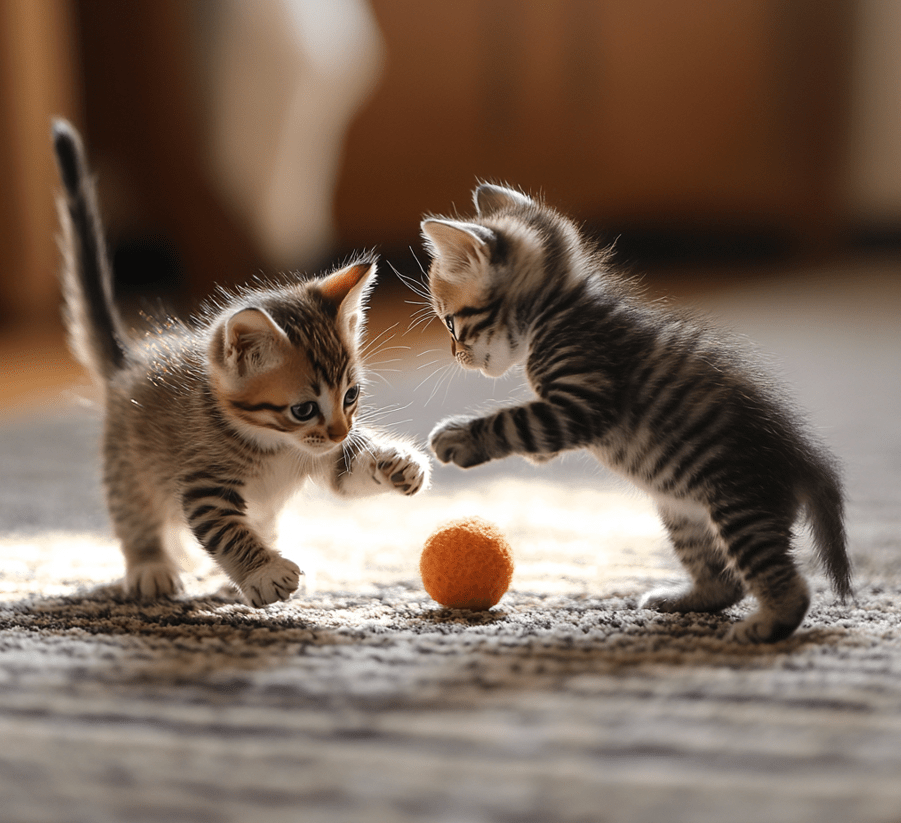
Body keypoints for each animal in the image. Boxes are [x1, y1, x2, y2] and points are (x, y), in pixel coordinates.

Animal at [51, 122, 428, 608]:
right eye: (303, 409)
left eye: (351, 395)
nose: (342, 432)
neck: (277, 446)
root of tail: (130, 360)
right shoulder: (203, 486)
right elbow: (229, 532)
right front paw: (265, 571)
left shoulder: (324, 456)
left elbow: (348, 471)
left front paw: (397, 461)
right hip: (129, 466)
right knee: (135, 514)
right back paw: (151, 566)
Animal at [418, 185, 848, 644]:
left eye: (450, 323)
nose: (456, 356)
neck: (558, 311)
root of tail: (803, 456)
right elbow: (531, 428)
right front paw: (536, 455)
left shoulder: (584, 399)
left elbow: (513, 420)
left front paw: (459, 438)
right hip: (684, 513)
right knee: (724, 582)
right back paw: (682, 601)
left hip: (742, 505)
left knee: (788, 583)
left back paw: (765, 625)